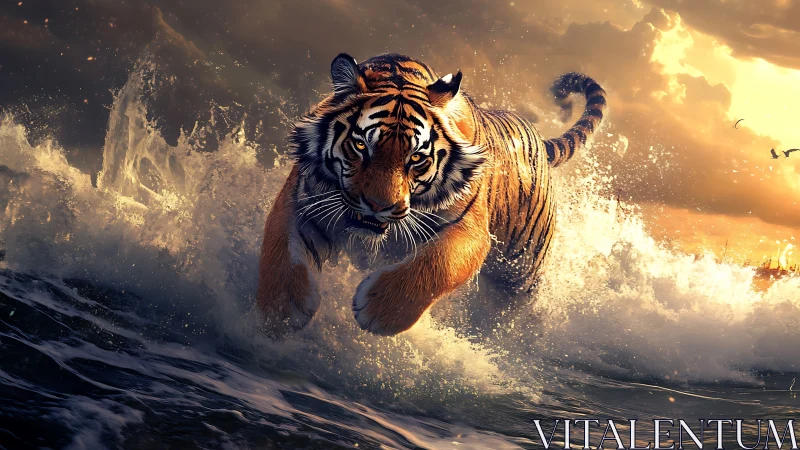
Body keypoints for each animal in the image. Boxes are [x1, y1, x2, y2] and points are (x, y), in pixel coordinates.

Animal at [257, 53, 607, 336]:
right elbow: (281, 252)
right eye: (360, 145)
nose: (378, 206)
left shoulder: (470, 230)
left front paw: (378, 312)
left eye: (416, 158)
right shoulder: (303, 202)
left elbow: (437, 265)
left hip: (520, 272)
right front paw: (282, 312)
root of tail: (539, 139)